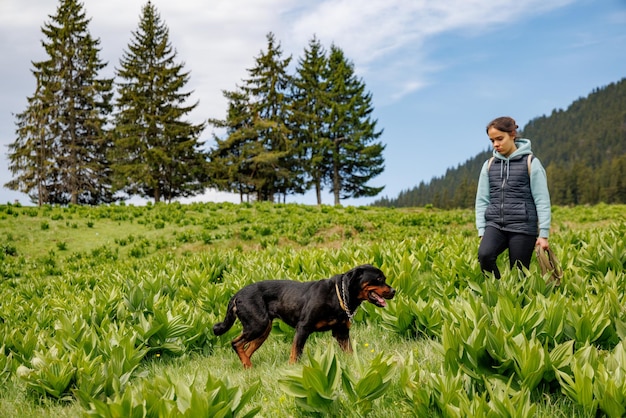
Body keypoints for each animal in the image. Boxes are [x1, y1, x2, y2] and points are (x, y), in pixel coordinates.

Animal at [212, 264, 392, 370]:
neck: (338, 295)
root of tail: (236, 295)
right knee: (236, 343)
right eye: (379, 279)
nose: (394, 291)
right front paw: (292, 370)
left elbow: (350, 351)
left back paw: (248, 367)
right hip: (258, 324)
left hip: (263, 330)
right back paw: (248, 365)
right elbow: (296, 353)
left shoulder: (341, 332)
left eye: (384, 279)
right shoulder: (303, 328)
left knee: (246, 348)